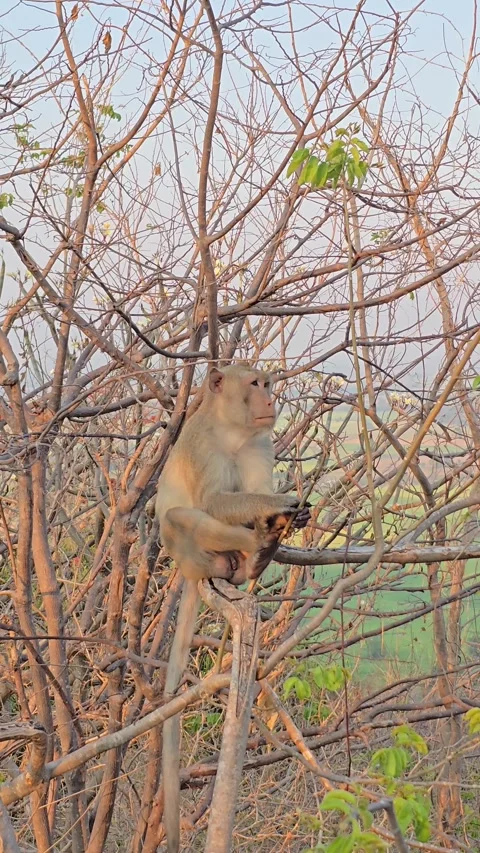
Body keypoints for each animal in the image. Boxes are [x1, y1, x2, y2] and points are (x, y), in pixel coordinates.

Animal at [156, 364, 310, 852]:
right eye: (256, 384)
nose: (270, 397)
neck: (232, 431)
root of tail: (188, 573)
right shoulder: (202, 442)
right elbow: (213, 501)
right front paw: (279, 505)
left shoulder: (260, 441)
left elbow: (252, 487)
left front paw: (279, 510)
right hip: (187, 554)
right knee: (186, 516)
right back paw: (257, 542)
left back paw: (259, 554)